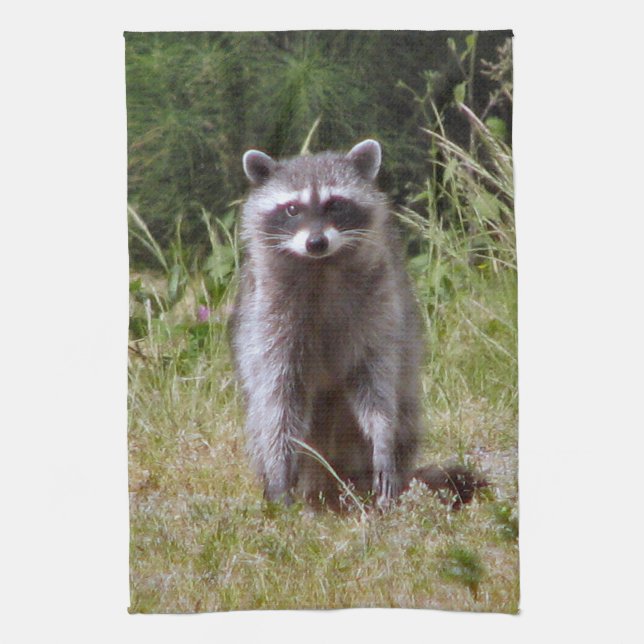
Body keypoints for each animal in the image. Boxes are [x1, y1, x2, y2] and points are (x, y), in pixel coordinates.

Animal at [230, 140, 424, 507]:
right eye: (292, 209)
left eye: (335, 204)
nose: (316, 243)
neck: (322, 266)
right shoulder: (270, 319)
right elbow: (279, 399)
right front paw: (279, 471)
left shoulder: (380, 306)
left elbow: (376, 383)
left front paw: (382, 440)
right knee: (261, 419)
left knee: (405, 415)